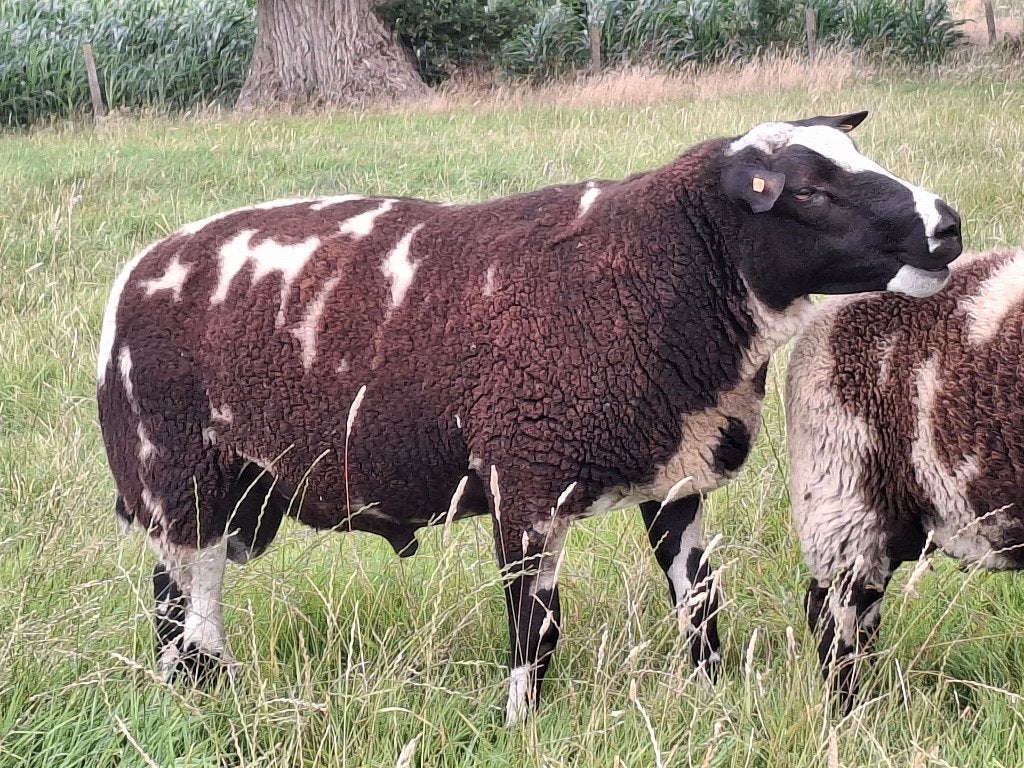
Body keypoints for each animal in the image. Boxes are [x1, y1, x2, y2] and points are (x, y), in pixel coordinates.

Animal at [96, 110, 962, 725]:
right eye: (806, 191)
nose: (948, 225)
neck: (654, 268)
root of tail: (134, 276)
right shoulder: (525, 477)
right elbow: (534, 630)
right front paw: (520, 727)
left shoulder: (674, 483)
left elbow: (701, 606)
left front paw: (712, 702)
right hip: (176, 473)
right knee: (184, 607)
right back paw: (197, 700)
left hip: (224, 490)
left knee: (179, 604)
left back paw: (201, 698)